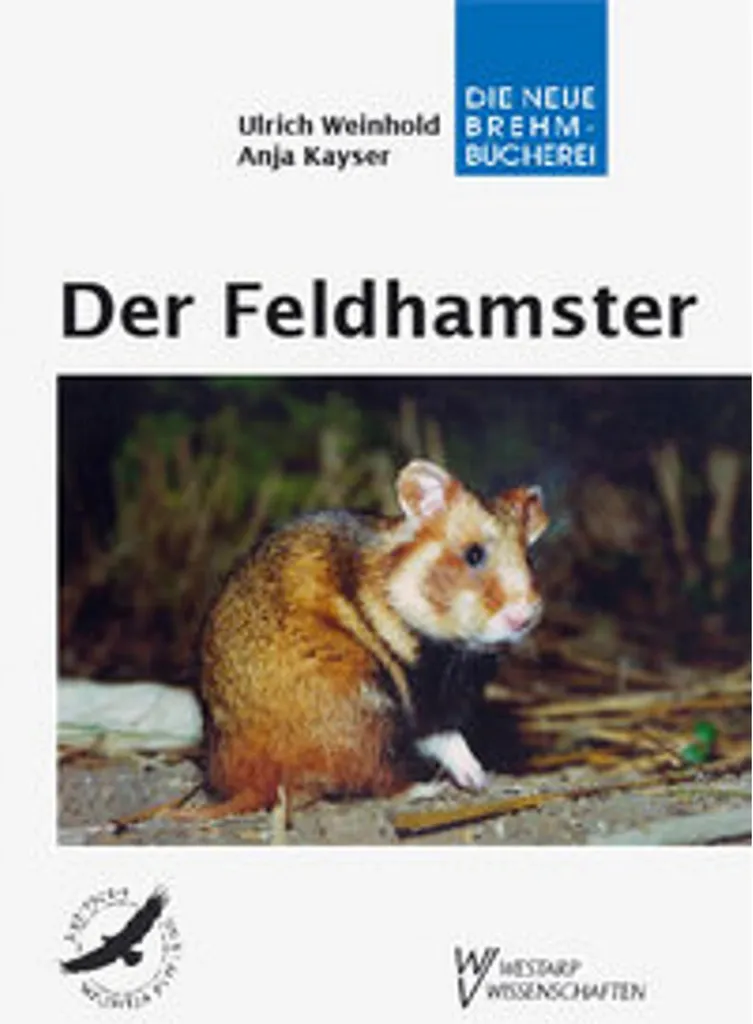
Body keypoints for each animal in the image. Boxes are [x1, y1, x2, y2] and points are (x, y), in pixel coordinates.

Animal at [199, 459, 548, 815]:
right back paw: (426, 790)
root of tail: (253, 787)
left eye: (529, 559)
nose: (523, 617)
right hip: (366, 712)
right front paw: (477, 778)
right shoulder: (420, 693)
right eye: (473, 554)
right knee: (378, 779)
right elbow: (445, 737)